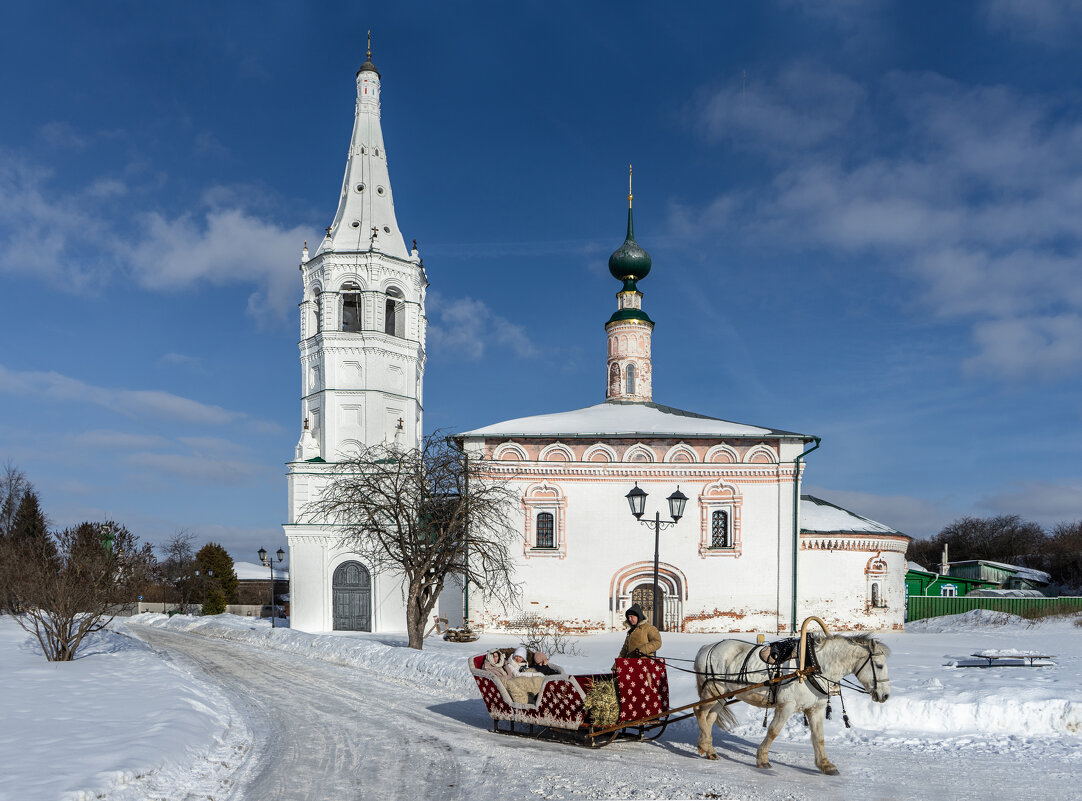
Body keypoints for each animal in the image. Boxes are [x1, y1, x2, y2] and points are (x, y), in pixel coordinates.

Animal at [696, 632, 891, 775]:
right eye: (879, 666)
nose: (886, 695)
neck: (813, 665)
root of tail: (706, 648)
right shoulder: (786, 706)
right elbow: (773, 731)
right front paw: (762, 759)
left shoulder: (816, 709)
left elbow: (819, 737)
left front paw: (825, 764)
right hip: (713, 690)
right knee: (699, 711)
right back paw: (704, 745)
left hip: (722, 695)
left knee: (710, 718)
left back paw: (709, 749)